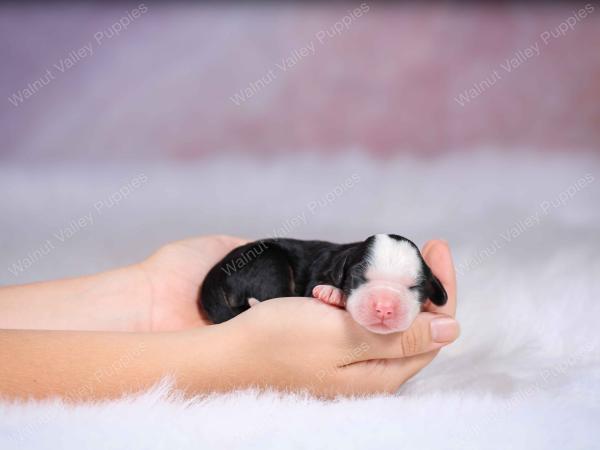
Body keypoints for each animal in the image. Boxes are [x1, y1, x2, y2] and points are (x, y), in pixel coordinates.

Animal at [199, 236, 448, 334]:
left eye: (415, 287)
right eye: (358, 277)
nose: (385, 308)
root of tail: (216, 272)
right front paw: (332, 293)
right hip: (269, 263)